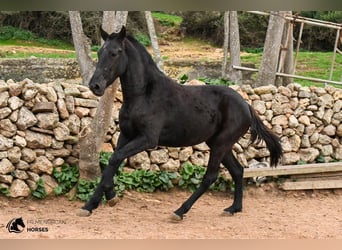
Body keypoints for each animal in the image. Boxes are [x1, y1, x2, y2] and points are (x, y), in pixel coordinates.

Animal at [77, 26, 284, 220]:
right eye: (99, 52)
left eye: (115, 53)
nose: (95, 86)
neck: (144, 94)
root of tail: (246, 105)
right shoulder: (126, 135)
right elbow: (113, 160)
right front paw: (100, 201)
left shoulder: (147, 139)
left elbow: (115, 158)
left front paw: (100, 200)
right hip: (219, 144)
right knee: (238, 170)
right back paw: (233, 208)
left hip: (221, 144)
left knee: (211, 176)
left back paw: (179, 211)